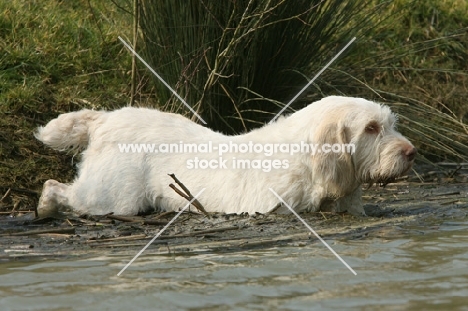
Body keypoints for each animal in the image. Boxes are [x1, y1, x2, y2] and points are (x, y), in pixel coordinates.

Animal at [37, 96, 416, 218]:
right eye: (370, 128)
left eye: (390, 124)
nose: (412, 153)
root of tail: (104, 119)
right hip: (112, 200)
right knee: (54, 186)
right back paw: (44, 207)